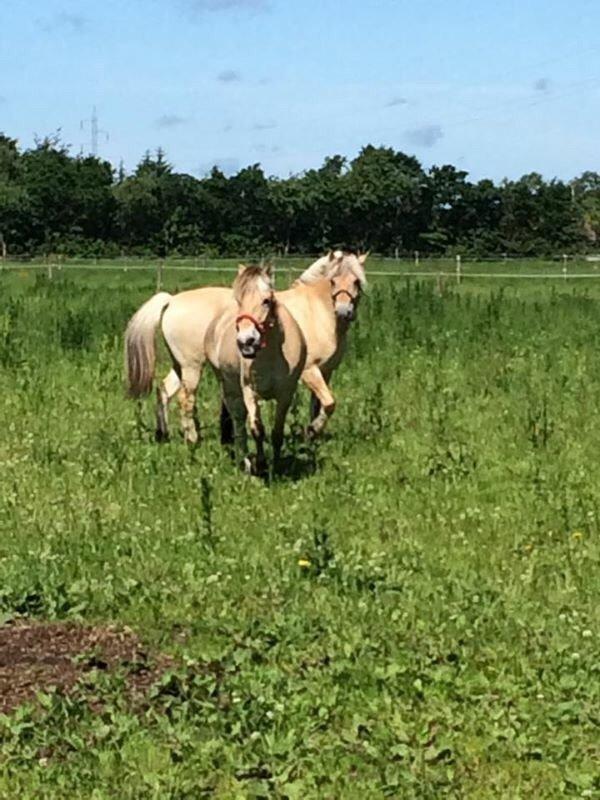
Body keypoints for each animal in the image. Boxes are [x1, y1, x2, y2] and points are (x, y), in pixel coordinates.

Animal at [207, 266, 310, 472]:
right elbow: (257, 430)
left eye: (266, 301)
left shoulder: (285, 394)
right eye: (239, 300)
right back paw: (245, 461)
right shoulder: (250, 392)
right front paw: (261, 463)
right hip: (230, 387)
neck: (271, 355)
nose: (246, 342)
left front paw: (276, 466)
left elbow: (277, 432)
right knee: (239, 422)